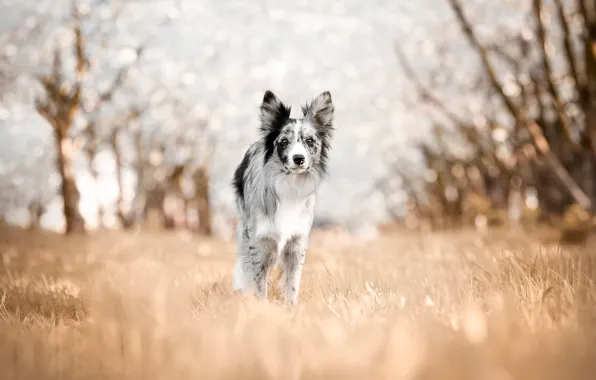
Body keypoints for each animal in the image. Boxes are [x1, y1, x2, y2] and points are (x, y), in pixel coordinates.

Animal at [233, 90, 336, 304]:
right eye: (284, 142)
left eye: (310, 141)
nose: (299, 159)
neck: (290, 185)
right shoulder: (259, 241)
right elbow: (259, 282)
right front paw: (261, 306)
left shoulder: (297, 243)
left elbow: (292, 283)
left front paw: (290, 307)